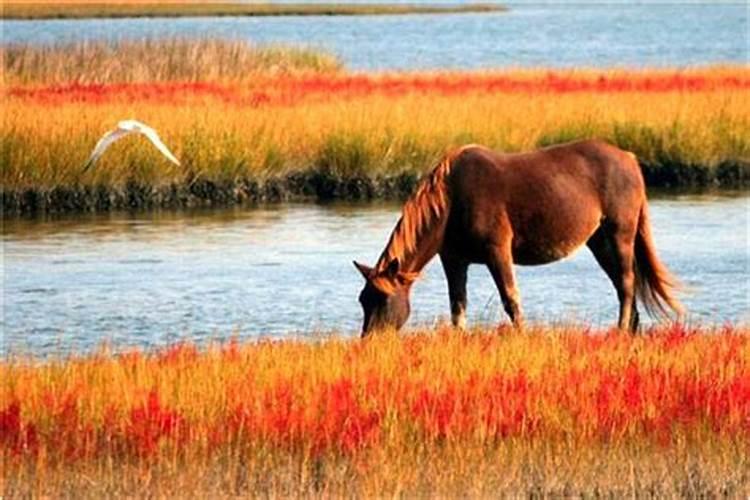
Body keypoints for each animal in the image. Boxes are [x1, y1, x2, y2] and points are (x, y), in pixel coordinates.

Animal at [356, 139, 684, 338]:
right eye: (363, 299)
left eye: (382, 299)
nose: (370, 340)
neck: (451, 200)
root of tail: (630, 159)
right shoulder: (454, 259)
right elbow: (457, 305)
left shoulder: (497, 251)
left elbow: (510, 299)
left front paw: (521, 336)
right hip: (599, 241)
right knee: (621, 283)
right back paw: (631, 331)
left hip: (620, 233)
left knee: (627, 283)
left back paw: (620, 330)